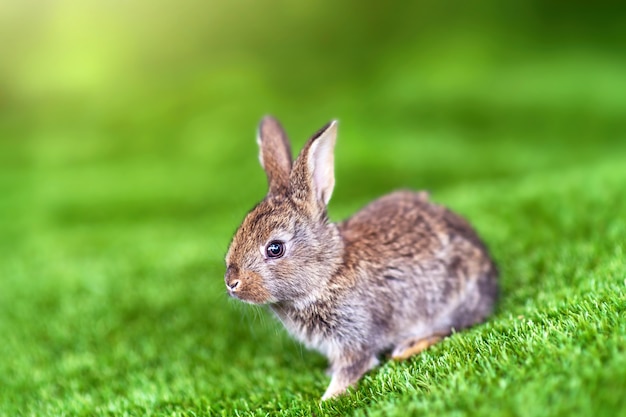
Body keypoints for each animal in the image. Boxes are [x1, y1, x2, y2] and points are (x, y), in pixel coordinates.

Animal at [224, 116, 498, 400]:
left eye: (275, 248)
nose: (231, 282)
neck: (329, 273)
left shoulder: (355, 336)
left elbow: (353, 367)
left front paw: (327, 398)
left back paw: (408, 347)